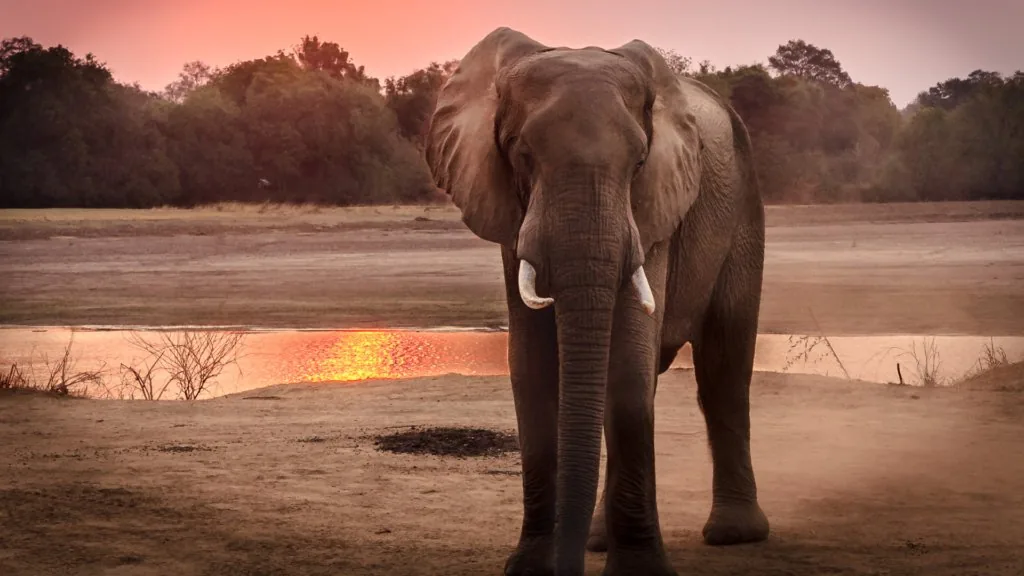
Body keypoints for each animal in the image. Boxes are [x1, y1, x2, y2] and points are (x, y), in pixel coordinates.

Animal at [424, 27, 769, 575]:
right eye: (521, 155)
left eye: (640, 162)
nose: (566, 566)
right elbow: (532, 367)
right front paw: (531, 568)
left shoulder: (654, 209)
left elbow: (627, 363)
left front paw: (639, 572)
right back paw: (600, 541)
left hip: (744, 208)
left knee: (724, 368)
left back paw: (733, 534)